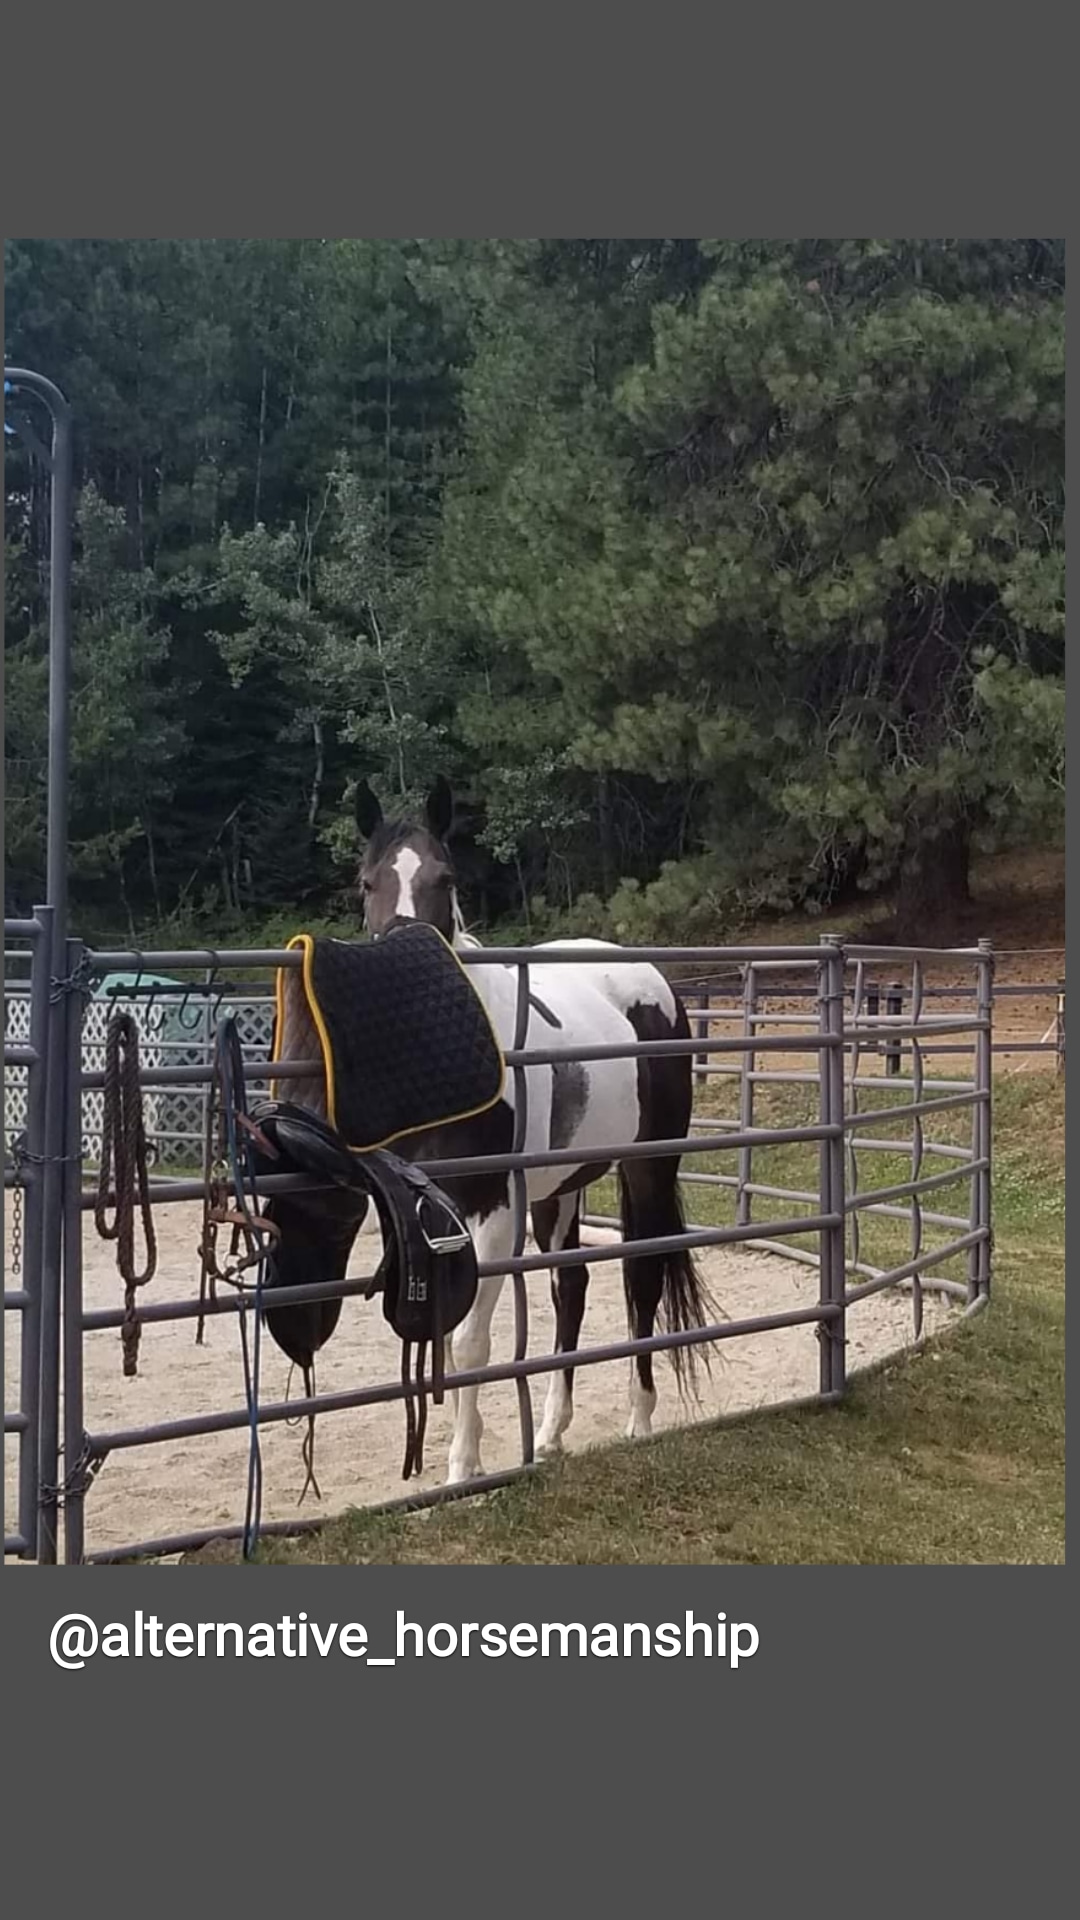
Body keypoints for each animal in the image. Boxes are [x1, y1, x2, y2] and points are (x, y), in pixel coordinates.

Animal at [352, 776, 715, 1486]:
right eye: (366, 882)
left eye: (446, 878)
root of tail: (651, 982)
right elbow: (439, 1327)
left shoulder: (492, 1211)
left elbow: (469, 1340)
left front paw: (462, 1467)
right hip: (561, 1187)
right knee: (570, 1287)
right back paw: (548, 1432)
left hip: (647, 1168)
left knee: (641, 1279)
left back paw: (639, 1419)